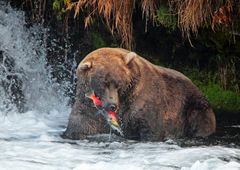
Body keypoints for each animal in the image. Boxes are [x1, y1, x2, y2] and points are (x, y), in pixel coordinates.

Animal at [62, 47, 217, 141]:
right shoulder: (87, 108)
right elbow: (81, 126)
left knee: (200, 120)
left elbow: (150, 128)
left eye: (118, 84)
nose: (112, 105)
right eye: (104, 83)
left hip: (192, 105)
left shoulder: (145, 101)